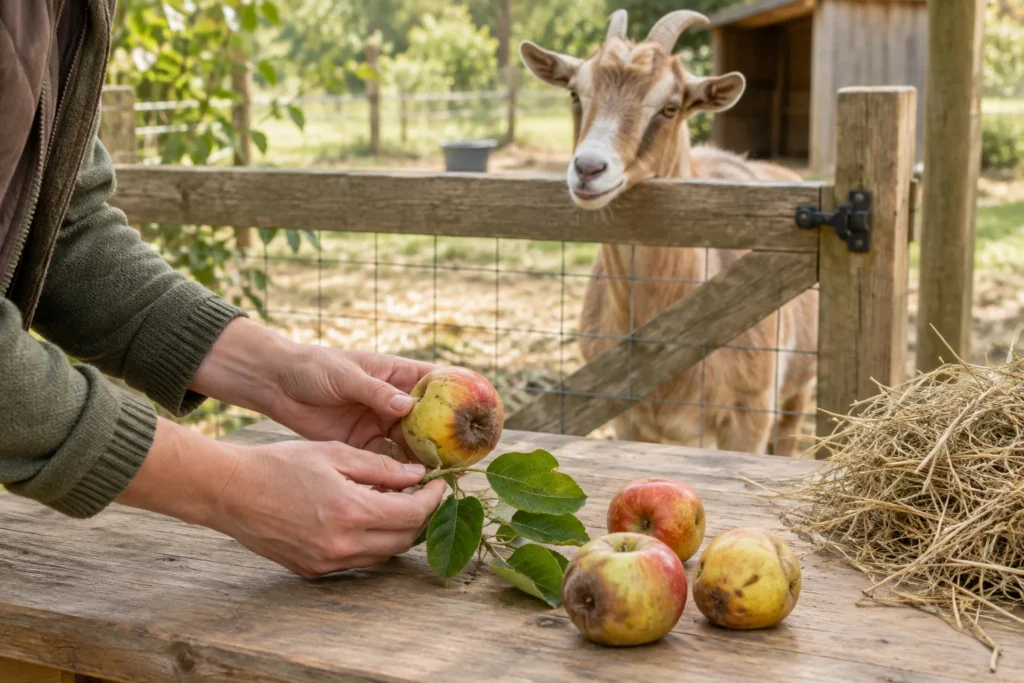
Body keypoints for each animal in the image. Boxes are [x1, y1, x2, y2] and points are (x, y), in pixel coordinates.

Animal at [519, 8, 818, 456]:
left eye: (670, 107)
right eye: (574, 93)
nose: (589, 169)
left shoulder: (749, 417)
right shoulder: (627, 417)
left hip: (796, 392)